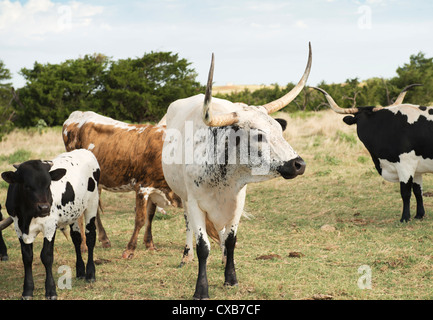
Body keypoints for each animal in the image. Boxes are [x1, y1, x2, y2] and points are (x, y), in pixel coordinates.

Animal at [0, 149, 99, 298]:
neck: (27, 216)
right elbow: (27, 257)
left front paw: (51, 290)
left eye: (48, 185)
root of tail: (85, 150)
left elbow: (46, 256)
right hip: (74, 213)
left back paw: (90, 274)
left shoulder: (50, 226)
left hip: (92, 205)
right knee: (76, 238)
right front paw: (27, 290)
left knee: (90, 237)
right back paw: (80, 271)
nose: (44, 208)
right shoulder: (19, 228)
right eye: (27, 186)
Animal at [310, 85, 428, 222]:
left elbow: (405, 193)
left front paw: (404, 218)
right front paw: (419, 215)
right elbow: (418, 191)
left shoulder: (405, 165)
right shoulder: (416, 168)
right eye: (358, 120)